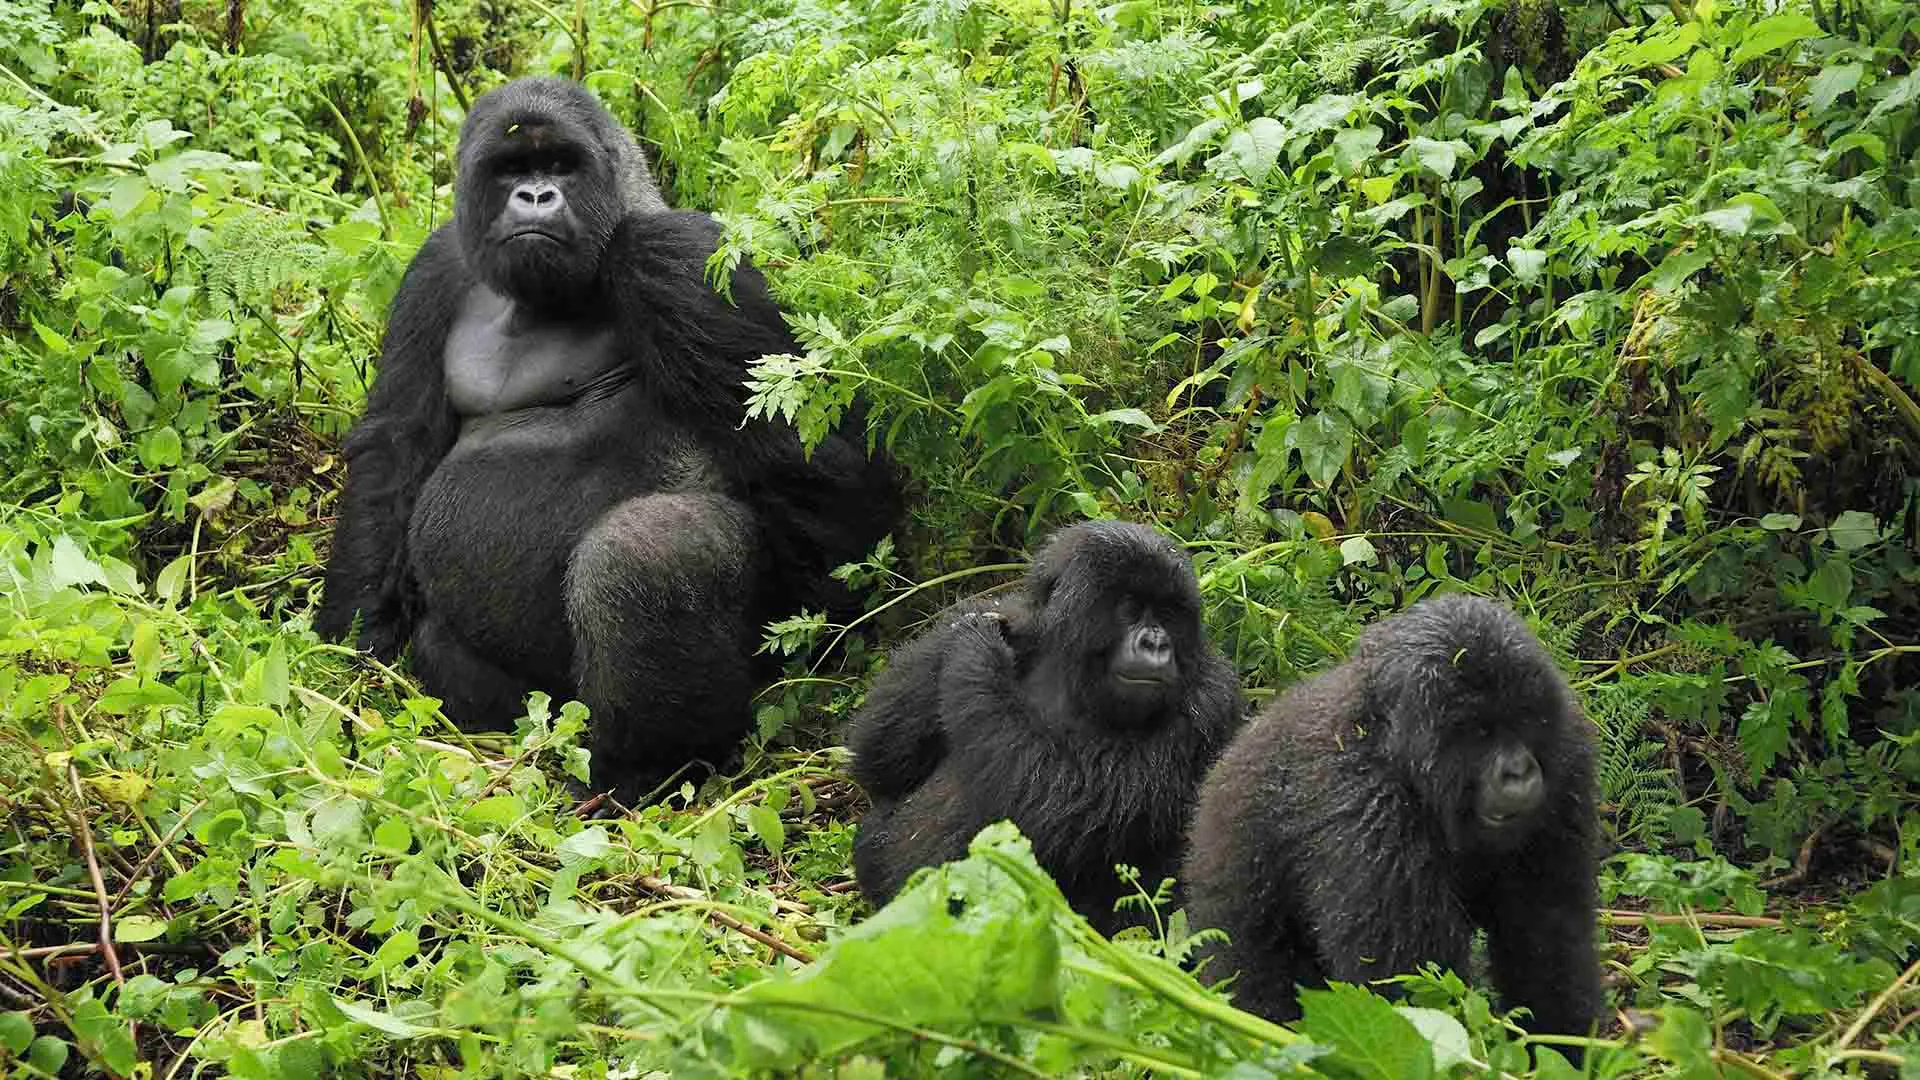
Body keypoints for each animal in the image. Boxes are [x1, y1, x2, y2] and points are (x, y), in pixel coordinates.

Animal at [314, 77, 898, 799]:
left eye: (561, 165)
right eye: (511, 169)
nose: (536, 196)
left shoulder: (675, 254)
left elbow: (824, 470)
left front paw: (821, 629)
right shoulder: (437, 265)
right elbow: (396, 447)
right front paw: (356, 640)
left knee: (645, 551)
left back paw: (645, 770)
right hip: (542, 706)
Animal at [848, 518, 1236, 930]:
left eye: (1168, 614)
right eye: (1131, 608)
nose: (1156, 643)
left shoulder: (1211, 699)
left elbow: (1059, 797)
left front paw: (976, 645)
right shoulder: (1013, 615)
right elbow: (877, 760)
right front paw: (970, 634)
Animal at [1182, 588, 1605, 1045]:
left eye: (1525, 719)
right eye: (1479, 732)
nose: (1519, 771)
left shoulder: (1568, 757)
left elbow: (1547, 934)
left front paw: (1566, 1043)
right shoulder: (1370, 808)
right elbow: (1406, 984)